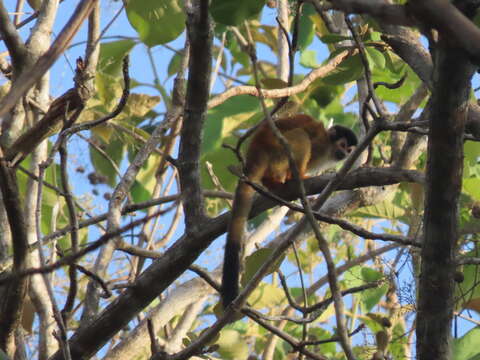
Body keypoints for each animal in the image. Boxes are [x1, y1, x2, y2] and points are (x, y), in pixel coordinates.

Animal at [221, 114, 356, 308]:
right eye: (343, 145)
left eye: (349, 149)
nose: (345, 154)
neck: (329, 148)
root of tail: (256, 151)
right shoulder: (320, 143)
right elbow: (309, 139)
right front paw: (298, 176)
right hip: (277, 150)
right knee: (301, 135)